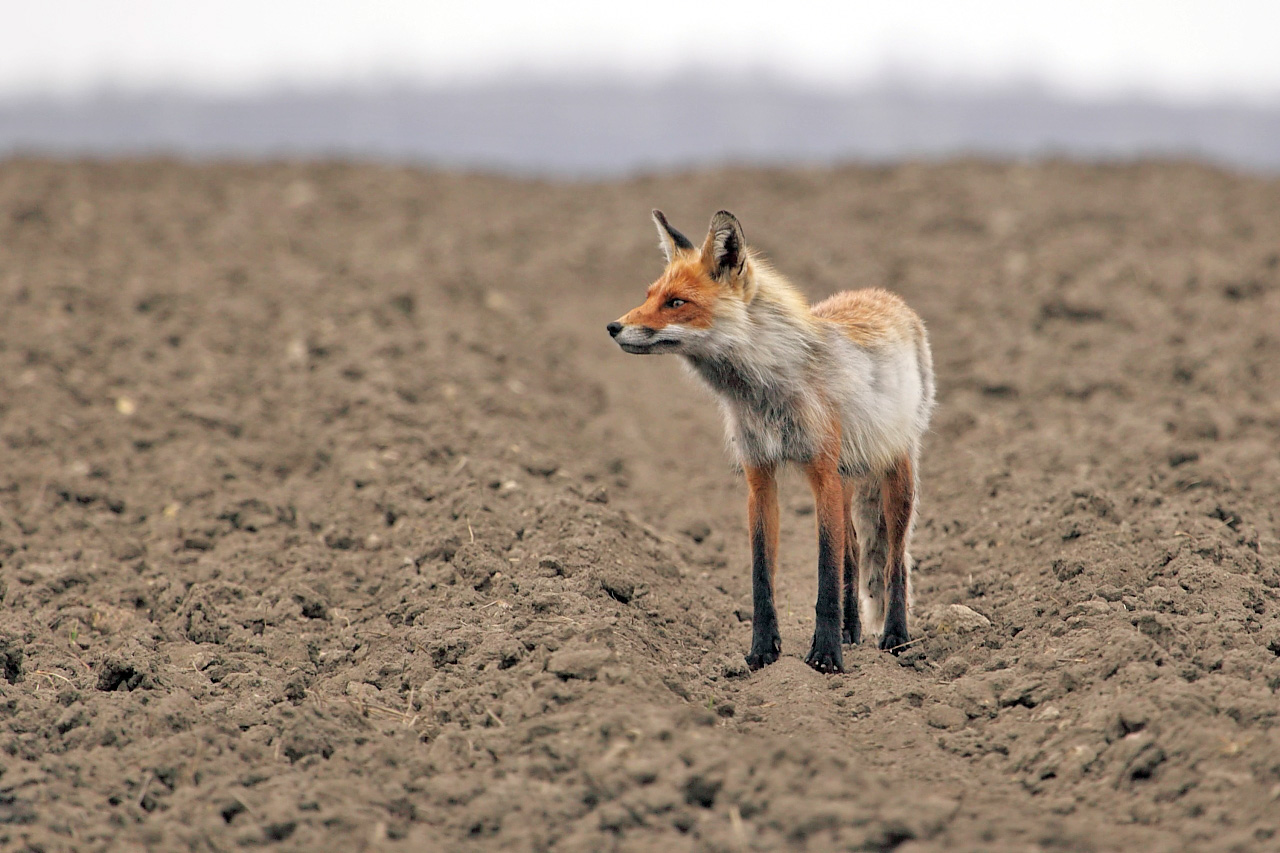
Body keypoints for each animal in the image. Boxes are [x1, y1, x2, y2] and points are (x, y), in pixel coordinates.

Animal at [604, 207, 936, 671]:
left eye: (677, 303)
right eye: (649, 295)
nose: (613, 327)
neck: (765, 391)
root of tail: (886, 296)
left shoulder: (821, 474)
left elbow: (825, 577)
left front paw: (825, 655)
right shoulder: (760, 478)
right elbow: (764, 576)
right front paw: (763, 651)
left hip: (895, 474)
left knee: (894, 561)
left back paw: (895, 637)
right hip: (847, 478)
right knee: (853, 553)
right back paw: (851, 632)